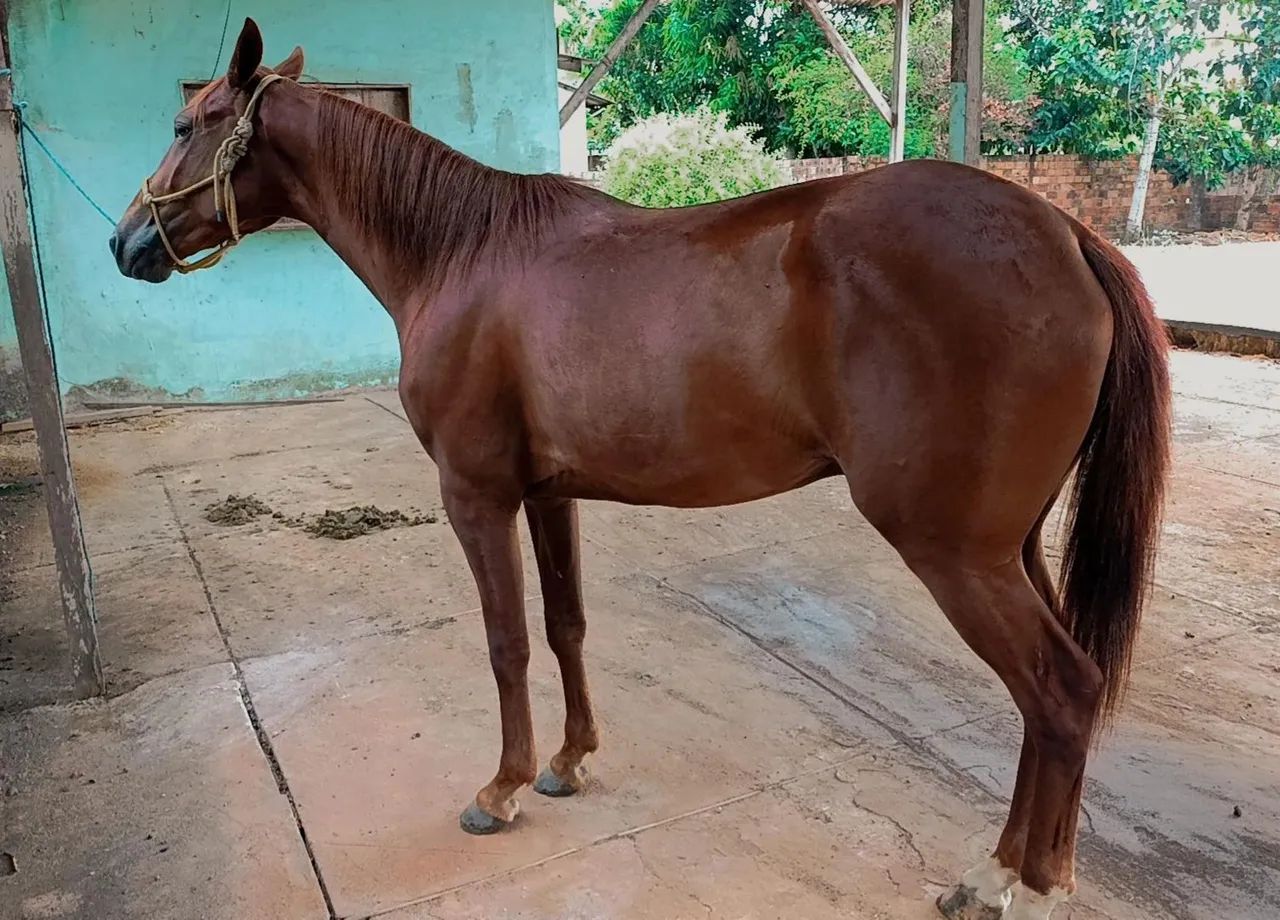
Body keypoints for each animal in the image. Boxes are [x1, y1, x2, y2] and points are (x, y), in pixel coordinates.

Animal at [110, 19, 1170, 920]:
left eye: (186, 123)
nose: (125, 244)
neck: (461, 252)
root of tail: (1066, 234)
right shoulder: (549, 496)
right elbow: (566, 625)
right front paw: (569, 761)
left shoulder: (477, 497)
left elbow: (506, 643)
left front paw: (501, 787)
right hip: (1009, 546)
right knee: (1048, 700)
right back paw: (1003, 872)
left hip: (955, 552)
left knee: (1059, 691)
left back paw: (1026, 884)